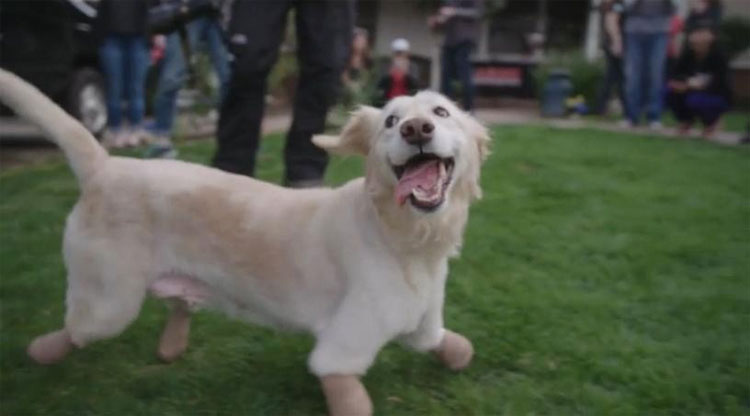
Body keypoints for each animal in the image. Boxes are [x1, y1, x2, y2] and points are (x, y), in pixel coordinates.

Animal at [0, 69, 490, 416]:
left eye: (441, 112)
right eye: (390, 121)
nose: (416, 129)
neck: (406, 238)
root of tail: (105, 167)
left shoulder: (421, 322)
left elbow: (451, 345)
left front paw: (457, 355)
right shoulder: (347, 338)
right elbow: (348, 391)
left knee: (177, 304)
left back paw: (170, 345)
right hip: (108, 300)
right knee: (76, 330)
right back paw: (41, 352)